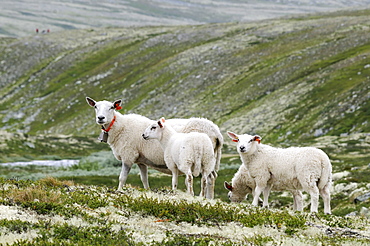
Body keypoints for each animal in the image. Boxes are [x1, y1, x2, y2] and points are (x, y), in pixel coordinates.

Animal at [85, 96, 223, 194]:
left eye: (111, 107)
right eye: (95, 106)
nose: (101, 118)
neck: (120, 126)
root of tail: (216, 131)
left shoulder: (128, 156)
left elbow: (122, 178)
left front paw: (119, 191)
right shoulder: (141, 160)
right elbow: (144, 179)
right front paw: (147, 191)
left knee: (208, 179)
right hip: (210, 159)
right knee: (211, 177)